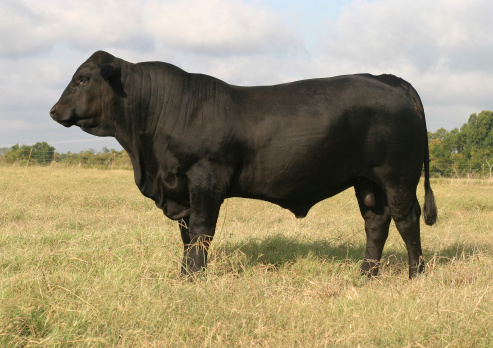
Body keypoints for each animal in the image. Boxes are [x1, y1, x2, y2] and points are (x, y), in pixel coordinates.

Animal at [50, 51, 436, 278]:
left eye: (83, 79)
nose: (54, 110)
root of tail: (388, 79)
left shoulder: (205, 177)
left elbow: (201, 231)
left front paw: (195, 278)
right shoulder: (180, 188)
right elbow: (186, 235)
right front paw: (183, 274)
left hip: (398, 175)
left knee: (406, 218)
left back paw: (416, 273)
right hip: (367, 180)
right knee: (376, 221)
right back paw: (366, 274)